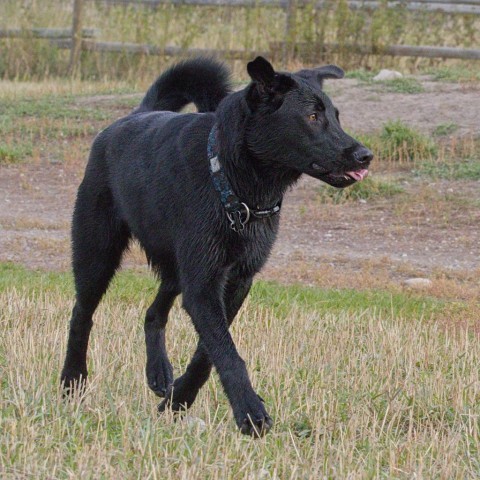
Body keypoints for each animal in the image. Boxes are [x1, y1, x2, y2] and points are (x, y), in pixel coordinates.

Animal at [61, 56, 372, 436]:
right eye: (312, 117)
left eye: (337, 116)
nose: (365, 155)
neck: (233, 184)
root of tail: (136, 113)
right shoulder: (203, 287)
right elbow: (227, 353)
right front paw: (251, 413)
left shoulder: (233, 282)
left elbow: (208, 353)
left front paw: (178, 400)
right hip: (98, 254)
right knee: (82, 315)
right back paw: (72, 380)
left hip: (176, 269)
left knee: (153, 313)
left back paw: (159, 373)